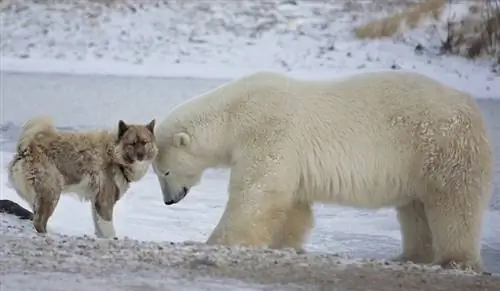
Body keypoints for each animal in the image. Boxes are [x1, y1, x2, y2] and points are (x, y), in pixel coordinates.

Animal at [6, 117, 157, 240]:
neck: (114, 153)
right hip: (52, 193)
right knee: (39, 222)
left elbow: (100, 228)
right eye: (132, 143)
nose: (140, 155)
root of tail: (27, 149)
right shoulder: (104, 201)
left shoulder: (96, 202)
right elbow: (109, 229)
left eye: (145, 142)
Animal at [151, 70, 492, 274]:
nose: (169, 201)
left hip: (440, 147)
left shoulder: (270, 130)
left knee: (453, 204)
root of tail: (471, 106)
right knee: (415, 210)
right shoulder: (290, 155)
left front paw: (216, 241)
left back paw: (455, 260)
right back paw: (410, 256)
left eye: (163, 172)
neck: (235, 114)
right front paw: (286, 244)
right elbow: (293, 204)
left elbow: (257, 192)